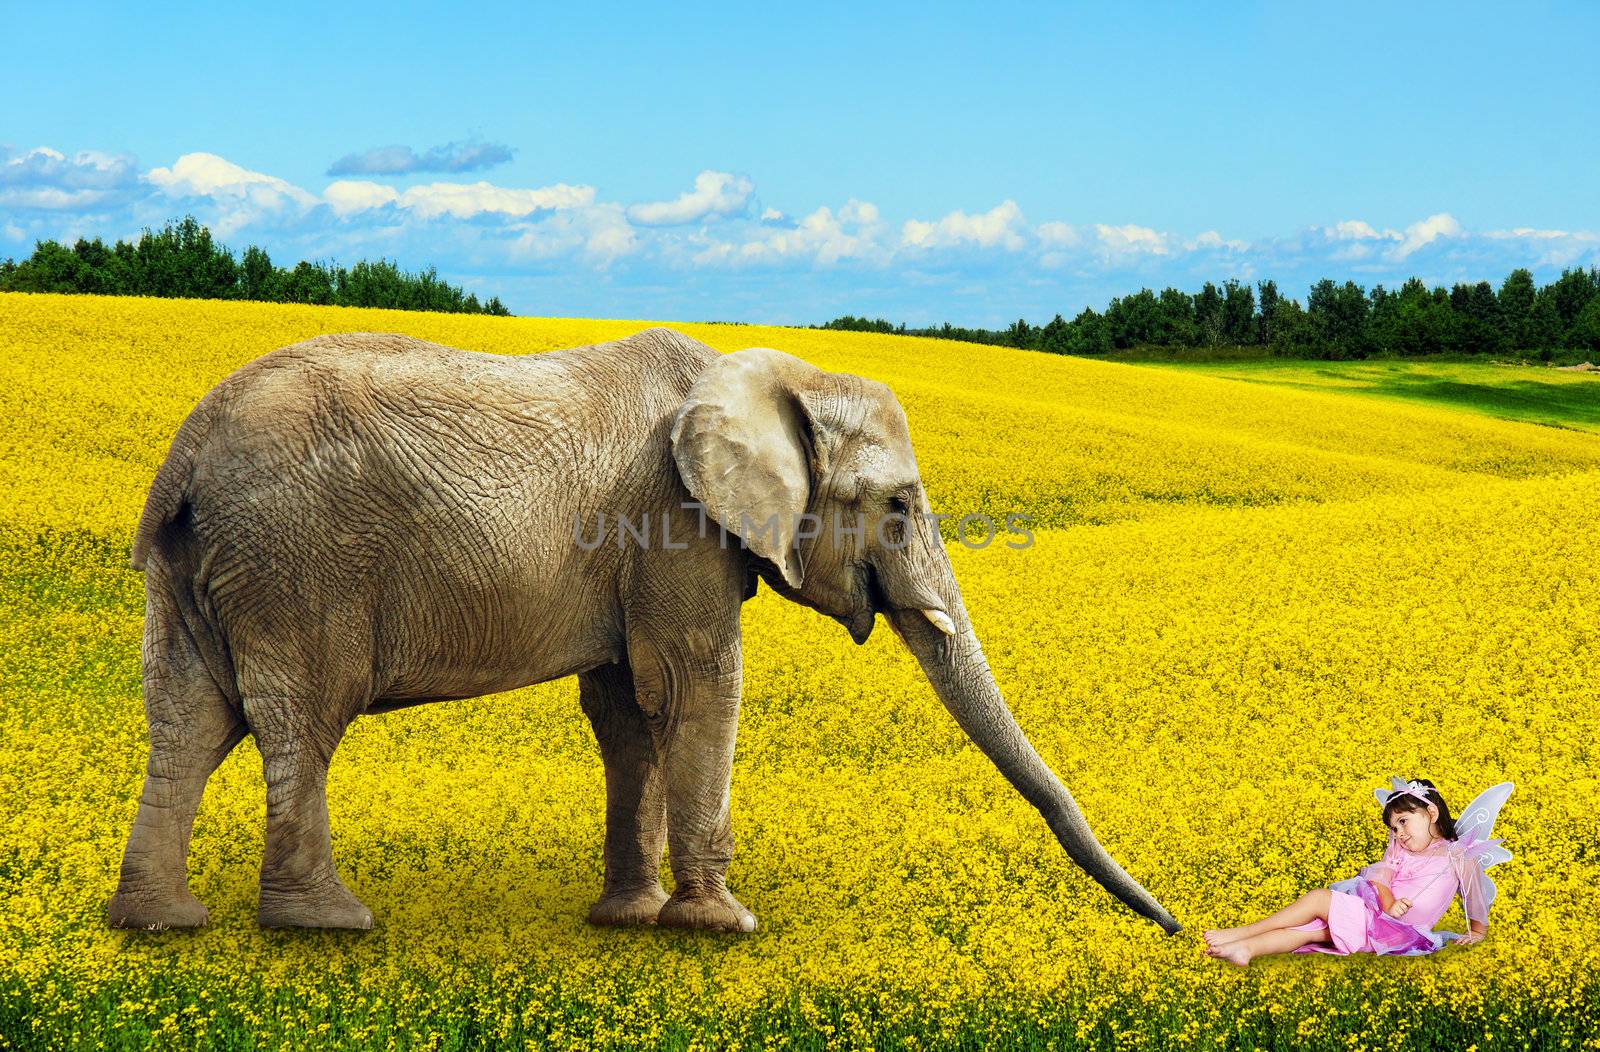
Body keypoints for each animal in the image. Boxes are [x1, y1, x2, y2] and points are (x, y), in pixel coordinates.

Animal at [106, 327, 1184, 933]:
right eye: (898, 505)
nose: (1173, 929)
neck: (773, 374)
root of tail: (186, 450)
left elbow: (627, 707)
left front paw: (627, 921)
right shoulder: (672, 523)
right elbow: (695, 684)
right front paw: (723, 927)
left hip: (201, 565)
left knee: (189, 720)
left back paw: (162, 927)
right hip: (300, 557)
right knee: (301, 715)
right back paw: (328, 926)